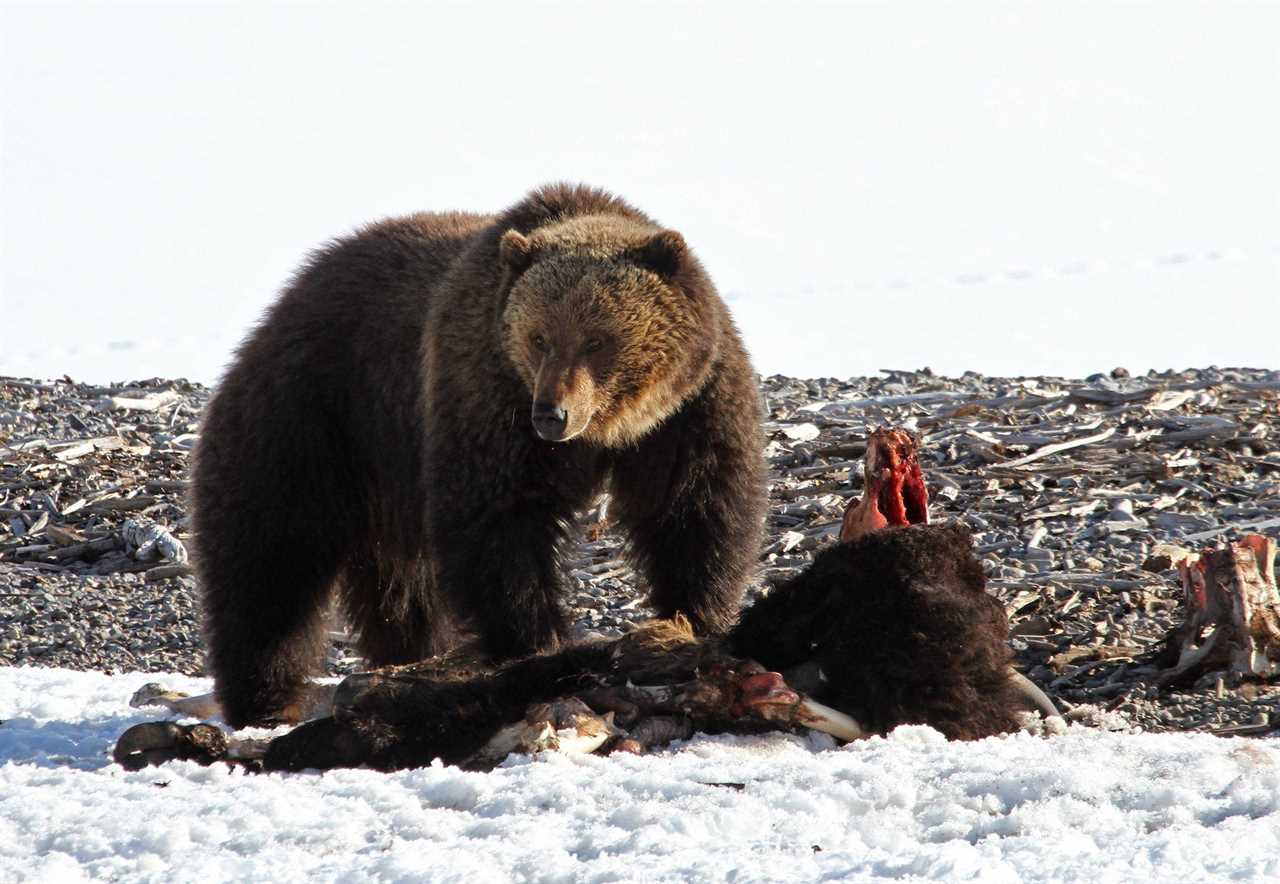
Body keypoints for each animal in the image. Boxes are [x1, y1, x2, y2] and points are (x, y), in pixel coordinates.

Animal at [194, 182, 762, 731]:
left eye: (597, 339)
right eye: (539, 338)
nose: (551, 414)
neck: (611, 430)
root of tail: (289, 295)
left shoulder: (690, 409)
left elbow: (695, 508)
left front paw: (693, 620)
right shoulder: (486, 394)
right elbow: (498, 521)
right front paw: (535, 643)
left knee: (401, 587)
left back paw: (408, 655)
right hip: (315, 415)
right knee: (270, 558)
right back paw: (265, 698)